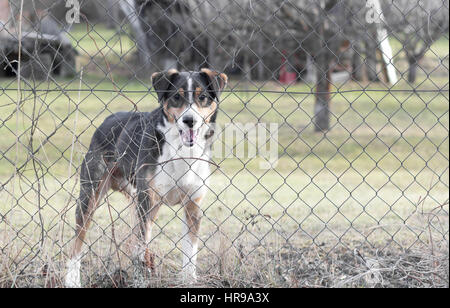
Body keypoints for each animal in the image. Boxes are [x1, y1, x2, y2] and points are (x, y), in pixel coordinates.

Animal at [64, 68, 227, 288]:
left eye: (202, 97)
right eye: (177, 97)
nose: (189, 120)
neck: (179, 150)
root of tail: (107, 120)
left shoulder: (192, 204)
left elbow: (190, 252)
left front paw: (189, 281)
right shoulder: (147, 199)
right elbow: (140, 251)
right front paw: (141, 281)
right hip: (91, 195)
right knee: (78, 241)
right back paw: (72, 280)